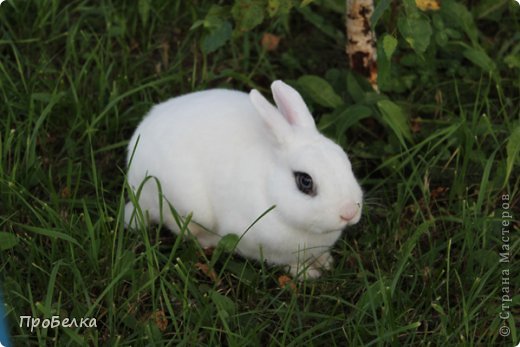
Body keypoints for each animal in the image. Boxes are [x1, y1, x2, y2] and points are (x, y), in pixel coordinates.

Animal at [125, 81, 362, 280]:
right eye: (305, 181)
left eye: (345, 162)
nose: (349, 212)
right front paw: (307, 273)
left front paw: (325, 262)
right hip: (188, 206)